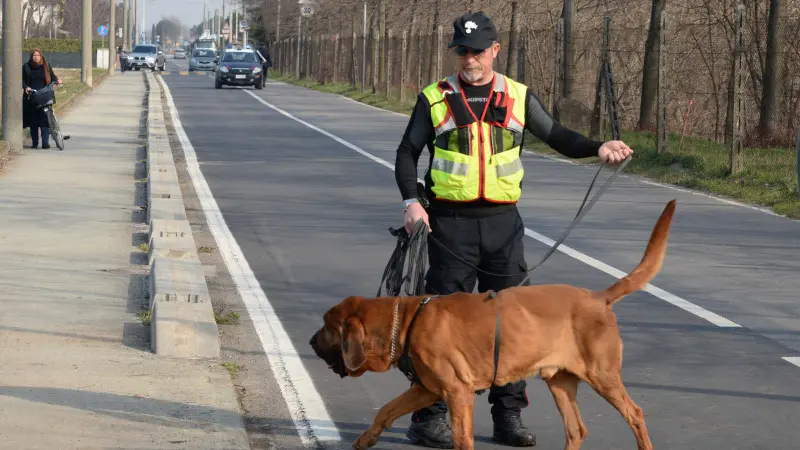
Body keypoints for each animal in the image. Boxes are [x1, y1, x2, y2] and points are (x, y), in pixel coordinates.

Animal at [310, 201, 676, 450]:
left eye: (327, 326)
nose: (311, 342)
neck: (406, 321)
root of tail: (598, 297)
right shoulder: (426, 389)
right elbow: (386, 409)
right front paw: (367, 438)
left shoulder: (458, 393)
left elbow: (462, 441)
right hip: (560, 381)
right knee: (577, 429)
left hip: (602, 375)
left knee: (635, 414)